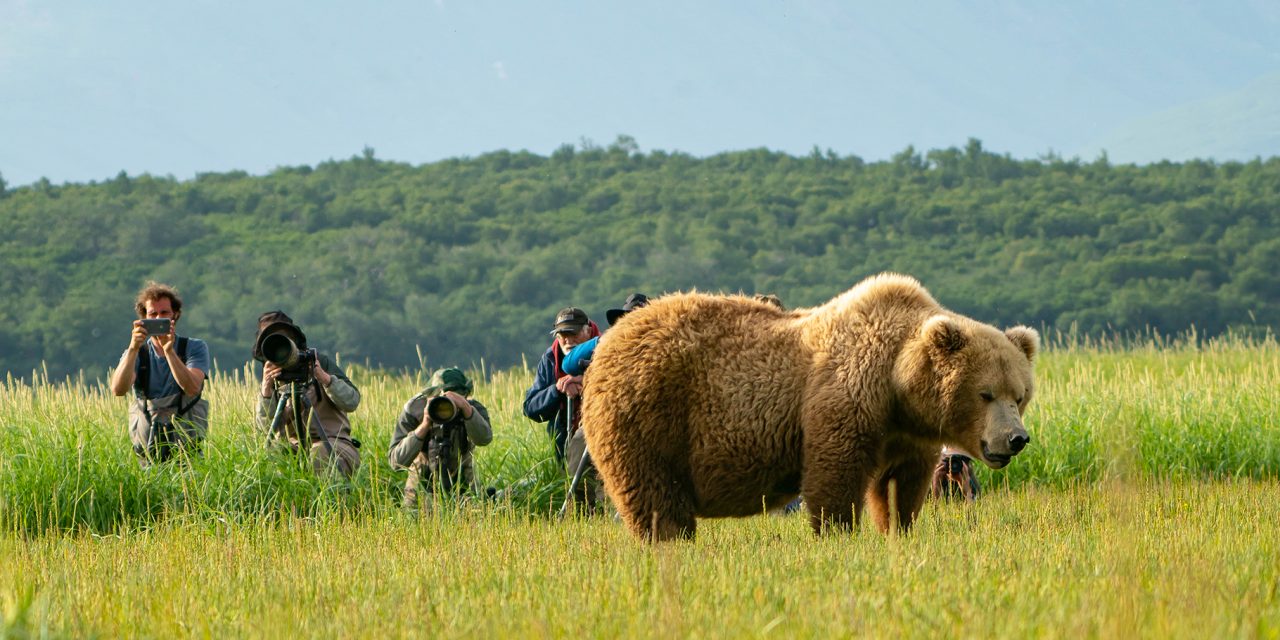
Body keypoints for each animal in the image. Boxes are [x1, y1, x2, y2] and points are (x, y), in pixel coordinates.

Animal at [579, 273, 1038, 542]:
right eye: (985, 394)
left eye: (1019, 395)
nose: (1016, 438)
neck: (895, 382)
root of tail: (612, 340)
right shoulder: (844, 398)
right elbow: (834, 476)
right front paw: (837, 534)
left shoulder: (905, 433)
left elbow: (900, 486)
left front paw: (897, 528)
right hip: (650, 413)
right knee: (656, 496)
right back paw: (670, 538)